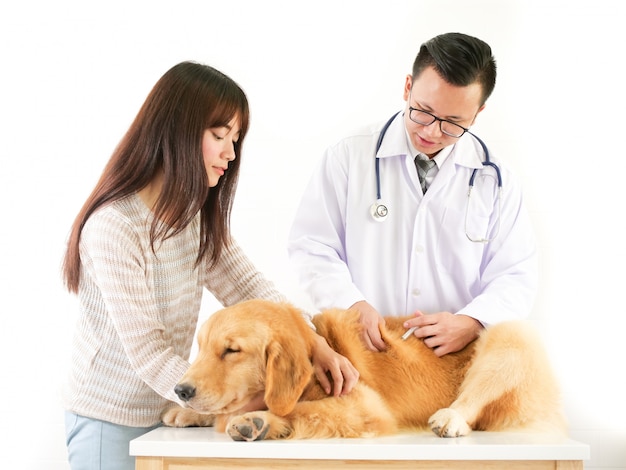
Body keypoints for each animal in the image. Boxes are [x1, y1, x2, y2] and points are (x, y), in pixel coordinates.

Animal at [158, 300, 564, 442]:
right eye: (201, 347)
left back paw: (451, 419)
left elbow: (300, 410)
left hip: (511, 335)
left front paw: (258, 421)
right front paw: (184, 413)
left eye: (231, 351)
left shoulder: (364, 406)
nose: (181, 390)